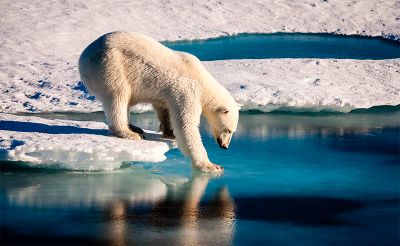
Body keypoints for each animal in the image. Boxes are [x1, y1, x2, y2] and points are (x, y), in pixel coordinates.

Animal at [79, 31, 239, 172]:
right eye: (228, 130)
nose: (225, 146)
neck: (202, 81)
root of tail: (83, 58)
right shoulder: (187, 91)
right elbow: (186, 126)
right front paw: (211, 166)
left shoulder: (169, 93)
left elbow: (164, 108)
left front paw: (169, 131)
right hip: (110, 66)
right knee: (118, 96)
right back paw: (129, 133)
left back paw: (135, 127)